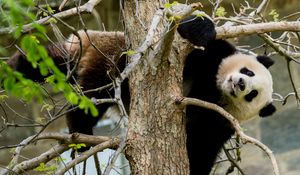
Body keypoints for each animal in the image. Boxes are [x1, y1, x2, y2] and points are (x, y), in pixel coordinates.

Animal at [5, 15, 276, 174]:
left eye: (252, 94)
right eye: (248, 71)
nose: (239, 83)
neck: (216, 89)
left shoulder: (219, 121)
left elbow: (200, 147)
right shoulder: (211, 59)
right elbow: (197, 43)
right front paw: (200, 28)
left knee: (54, 65)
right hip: (110, 55)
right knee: (90, 91)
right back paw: (80, 132)